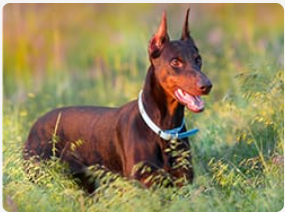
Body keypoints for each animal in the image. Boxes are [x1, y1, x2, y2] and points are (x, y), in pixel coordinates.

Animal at [23, 9, 211, 193]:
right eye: (175, 62)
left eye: (198, 59)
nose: (207, 85)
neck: (164, 128)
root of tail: (34, 125)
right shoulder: (142, 183)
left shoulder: (182, 184)